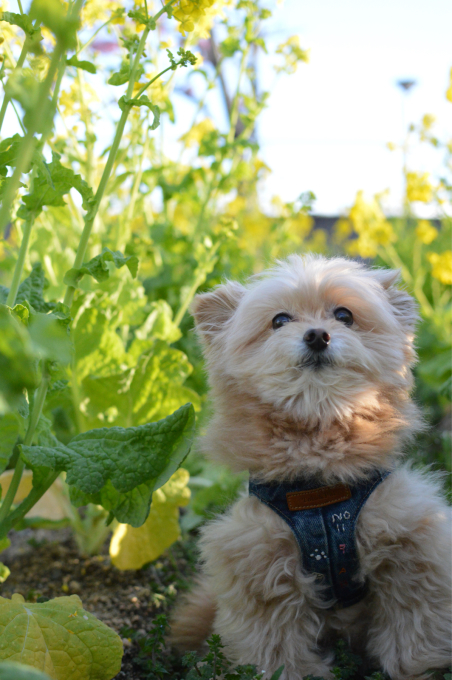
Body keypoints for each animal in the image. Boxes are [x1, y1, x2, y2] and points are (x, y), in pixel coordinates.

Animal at [170, 255, 452, 680]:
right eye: (280, 320)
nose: (318, 335)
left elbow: (412, 629)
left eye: (344, 315)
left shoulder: (413, 547)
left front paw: (416, 669)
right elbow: (276, 650)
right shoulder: (261, 569)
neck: (320, 485)